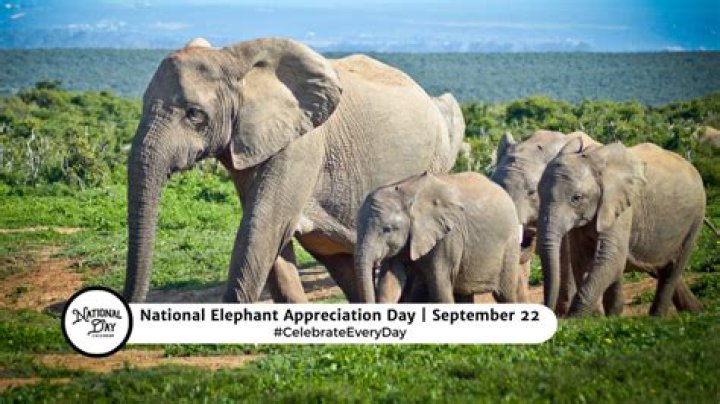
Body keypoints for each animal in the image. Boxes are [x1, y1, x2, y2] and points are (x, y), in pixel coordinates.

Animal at [124, 37, 464, 303]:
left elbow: (264, 223)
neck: (232, 59)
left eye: (195, 114)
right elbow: (268, 231)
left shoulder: (303, 144)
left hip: (435, 159)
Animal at [354, 172, 522, 303]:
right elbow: (389, 284)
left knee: (505, 295)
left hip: (510, 243)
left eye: (387, 230)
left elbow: (439, 286)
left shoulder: (449, 236)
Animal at [537, 139, 705, 317]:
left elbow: (611, 258)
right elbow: (583, 260)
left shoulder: (621, 207)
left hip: (696, 217)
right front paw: (599, 318)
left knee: (672, 270)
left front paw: (576, 319)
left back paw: (657, 318)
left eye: (576, 198)